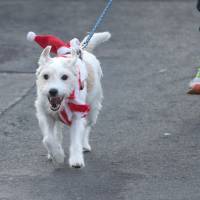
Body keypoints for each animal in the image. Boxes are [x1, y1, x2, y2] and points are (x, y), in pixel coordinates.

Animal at [34, 32, 111, 167]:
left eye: (65, 77)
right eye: (45, 76)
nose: (53, 91)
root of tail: (83, 51)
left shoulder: (77, 115)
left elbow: (76, 139)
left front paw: (76, 160)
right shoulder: (46, 115)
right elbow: (48, 138)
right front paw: (57, 155)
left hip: (92, 109)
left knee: (87, 127)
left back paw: (84, 145)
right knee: (57, 133)